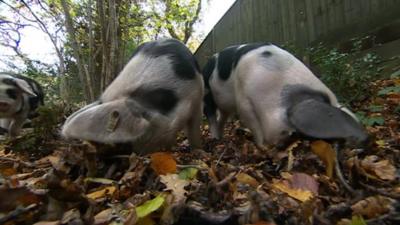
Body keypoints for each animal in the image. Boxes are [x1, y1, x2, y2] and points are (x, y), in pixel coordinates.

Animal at [203, 42, 368, 148]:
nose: (365, 139)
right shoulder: (244, 99)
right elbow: (253, 125)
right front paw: (263, 148)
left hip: (225, 106)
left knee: (222, 117)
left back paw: (221, 137)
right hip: (207, 93)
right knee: (211, 115)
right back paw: (216, 139)